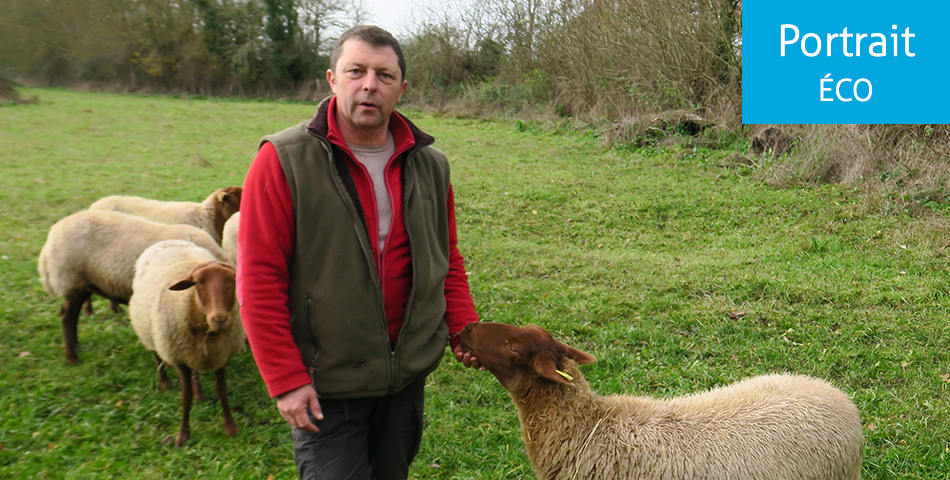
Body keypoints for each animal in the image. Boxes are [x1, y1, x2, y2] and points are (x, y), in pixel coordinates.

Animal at [131, 240, 247, 446]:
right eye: (198, 284)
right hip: (150, 332)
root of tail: (169, 241)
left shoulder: (221, 356)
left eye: (232, 282)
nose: (219, 319)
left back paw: (199, 392)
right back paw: (165, 382)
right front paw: (183, 436)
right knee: (156, 356)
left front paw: (231, 428)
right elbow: (186, 398)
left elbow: (222, 391)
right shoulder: (179, 359)